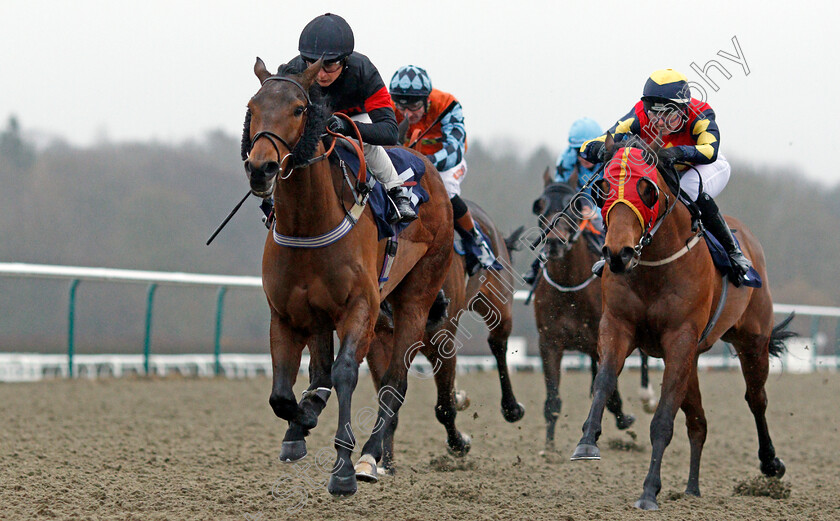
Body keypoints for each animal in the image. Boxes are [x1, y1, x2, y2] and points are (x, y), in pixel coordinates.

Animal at [243, 58, 452, 496]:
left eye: (299, 109)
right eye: (252, 107)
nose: (261, 167)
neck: (309, 224)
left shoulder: (361, 308)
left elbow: (344, 373)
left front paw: (342, 468)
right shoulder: (286, 314)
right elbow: (282, 393)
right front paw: (300, 425)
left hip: (417, 295)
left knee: (394, 383)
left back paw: (371, 457)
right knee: (321, 373)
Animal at [572, 133, 796, 508]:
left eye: (647, 189)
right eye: (602, 187)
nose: (618, 254)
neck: (654, 265)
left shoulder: (680, 339)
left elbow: (663, 419)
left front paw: (649, 491)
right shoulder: (618, 325)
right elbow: (603, 380)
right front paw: (587, 440)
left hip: (752, 341)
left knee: (756, 399)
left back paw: (770, 463)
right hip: (693, 359)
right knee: (698, 422)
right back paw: (692, 489)